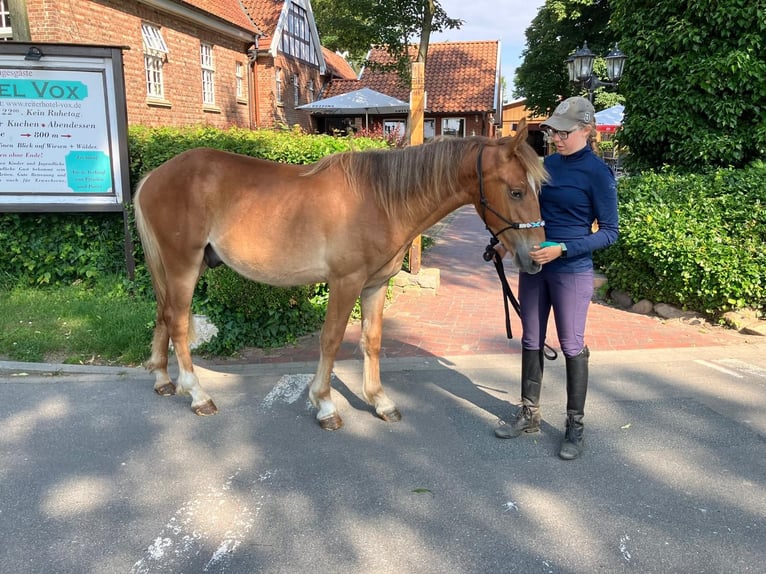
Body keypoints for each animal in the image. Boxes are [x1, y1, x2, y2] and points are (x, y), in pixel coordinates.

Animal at [136, 121, 544, 430]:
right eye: (516, 191)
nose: (536, 258)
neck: (381, 200)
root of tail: (154, 176)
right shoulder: (345, 282)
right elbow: (331, 340)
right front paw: (325, 404)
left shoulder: (376, 285)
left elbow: (372, 341)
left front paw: (380, 401)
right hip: (183, 265)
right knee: (177, 322)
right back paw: (198, 395)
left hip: (178, 268)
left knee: (162, 314)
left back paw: (163, 380)